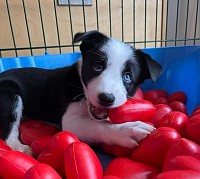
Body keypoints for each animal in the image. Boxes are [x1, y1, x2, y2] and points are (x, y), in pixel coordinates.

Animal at [0, 30, 162, 154]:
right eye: (97, 66)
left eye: (127, 77)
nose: (106, 98)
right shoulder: (71, 121)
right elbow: (99, 126)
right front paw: (128, 129)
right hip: (9, 94)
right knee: (8, 133)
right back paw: (21, 148)